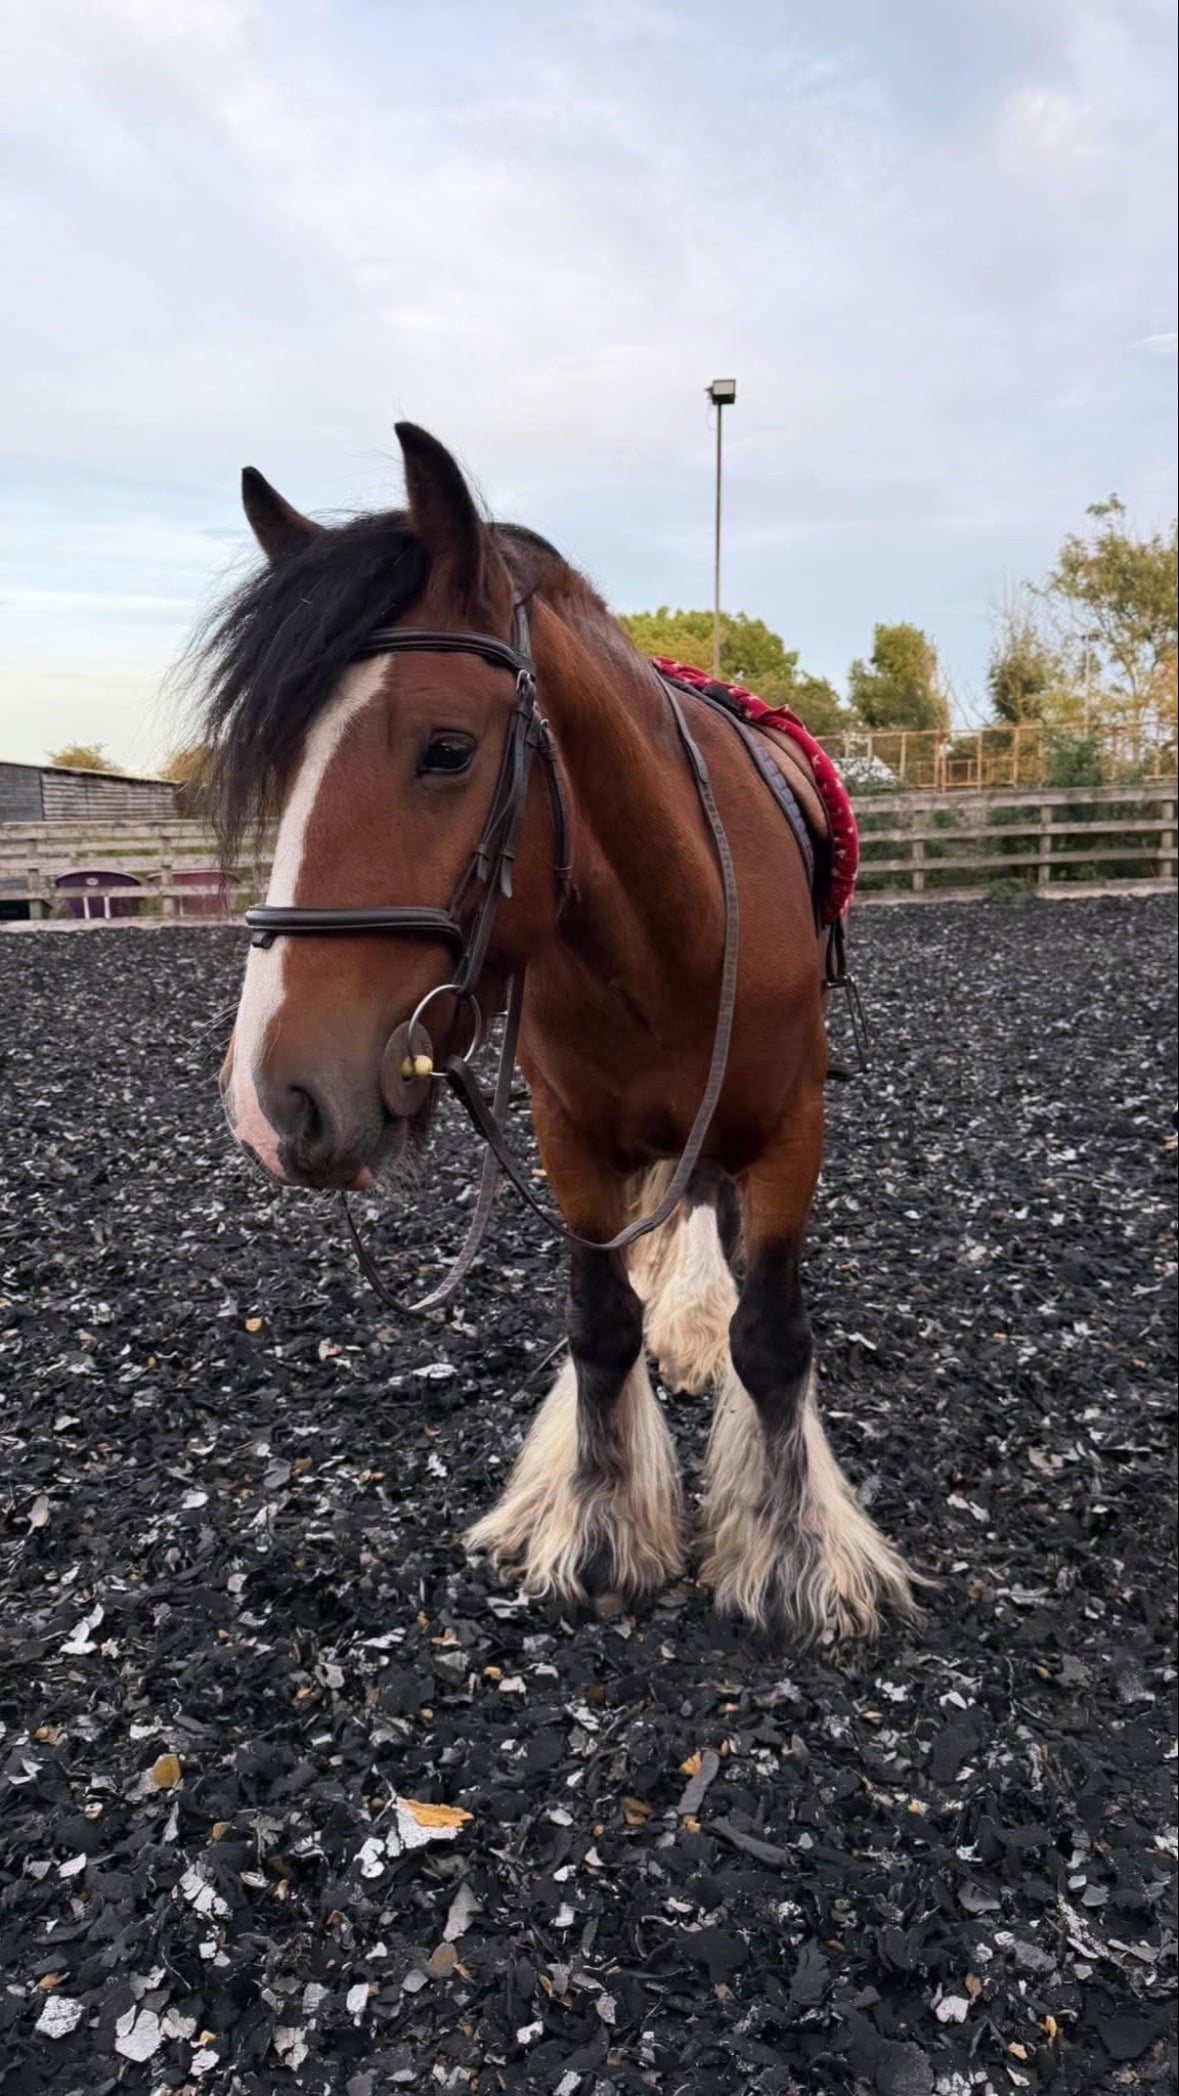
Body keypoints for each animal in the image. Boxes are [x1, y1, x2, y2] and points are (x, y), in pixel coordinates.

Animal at [204, 421, 917, 1644]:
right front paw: (598, 1529)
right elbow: (600, 1328)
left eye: (447, 748)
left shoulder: (788, 1132)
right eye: (285, 763)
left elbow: (773, 1340)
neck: (671, 924)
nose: (274, 1102)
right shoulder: (573, 1146)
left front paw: (793, 1557)